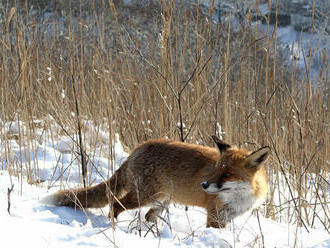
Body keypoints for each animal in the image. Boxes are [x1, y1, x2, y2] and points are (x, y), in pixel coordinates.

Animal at [45, 136, 270, 229]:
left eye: (228, 174)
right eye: (215, 170)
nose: (204, 185)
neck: (240, 197)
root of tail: (138, 149)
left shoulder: (227, 217)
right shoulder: (214, 215)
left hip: (161, 201)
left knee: (147, 216)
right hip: (145, 196)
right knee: (115, 204)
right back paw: (113, 227)